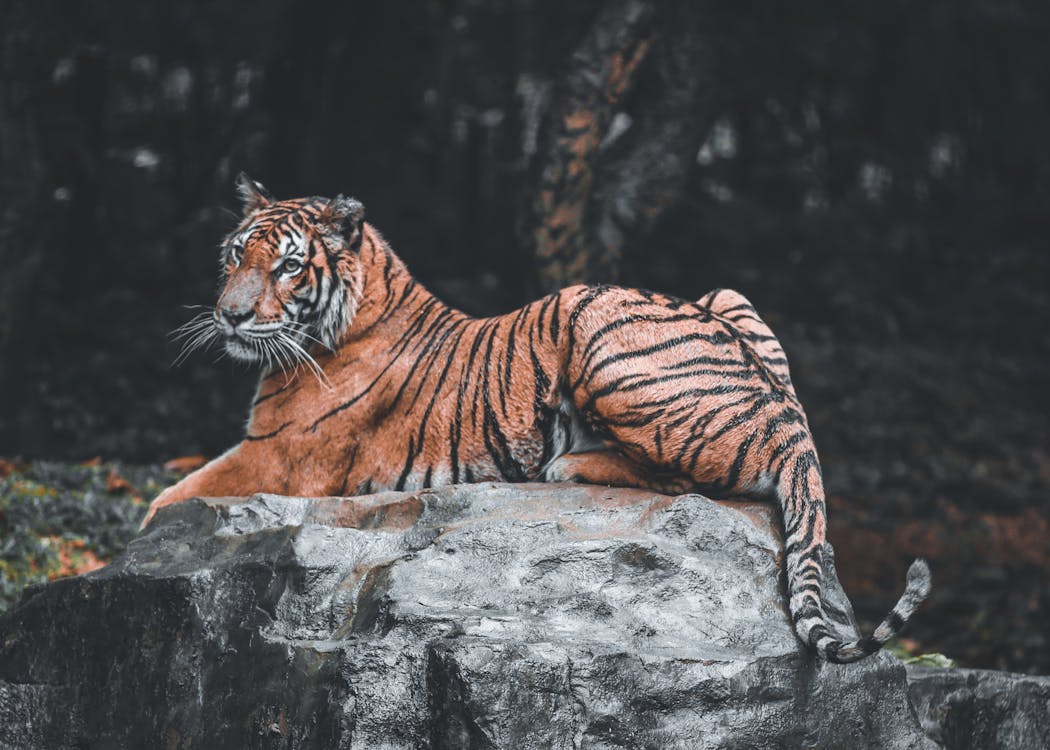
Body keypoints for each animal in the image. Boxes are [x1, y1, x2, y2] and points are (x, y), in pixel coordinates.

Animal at [145, 175, 928, 659]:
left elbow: (165, 501)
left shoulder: (275, 454)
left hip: (593, 320)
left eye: (287, 267)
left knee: (693, 481)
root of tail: (795, 426)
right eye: (235, 255)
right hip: (727, 293)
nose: (228, 315)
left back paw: (567, 462)